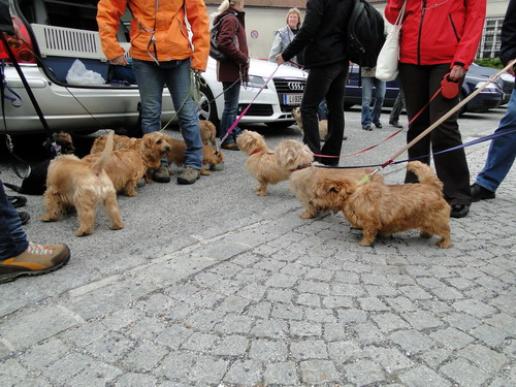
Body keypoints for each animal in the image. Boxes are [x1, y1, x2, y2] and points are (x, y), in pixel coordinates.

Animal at [312, 161, 450, 249]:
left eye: (317, 195)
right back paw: (425, 234)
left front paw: (364, 243)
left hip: (437, 221)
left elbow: (368, 233)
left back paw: (444, 244)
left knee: (446, 232)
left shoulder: (370, 223)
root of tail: (431, 187)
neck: (352, 195)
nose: (311, 202)